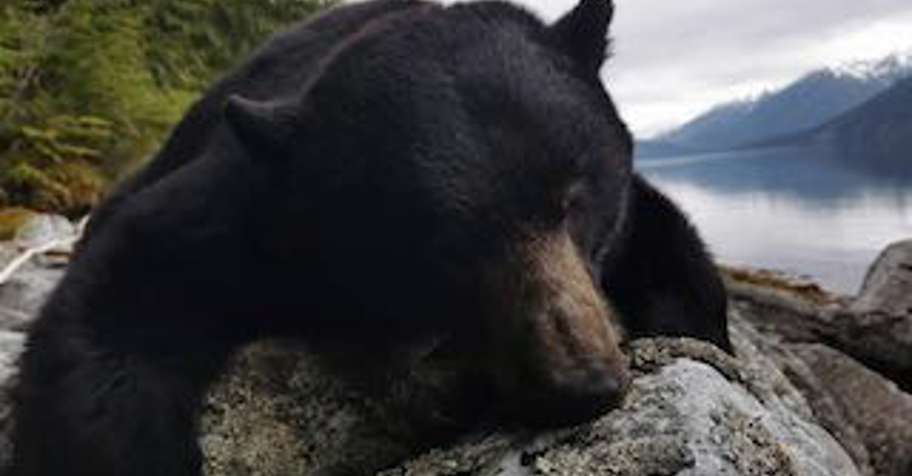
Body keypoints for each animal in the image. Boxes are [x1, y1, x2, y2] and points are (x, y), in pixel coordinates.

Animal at [8, 0, 732, 475]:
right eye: (446, 243)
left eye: (574, 201)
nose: (581, 382)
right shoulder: (245, 209)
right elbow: (110, 305)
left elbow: (680, 262)